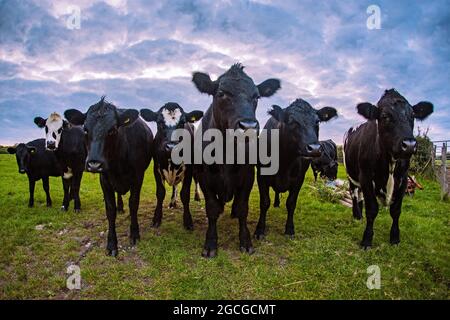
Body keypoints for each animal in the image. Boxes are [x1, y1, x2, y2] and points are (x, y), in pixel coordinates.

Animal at [63, 96, 153, 256]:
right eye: (85, 129)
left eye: (113, 130)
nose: (94, 164)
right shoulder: (104, 179)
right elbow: (110, 210)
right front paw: (111, 243)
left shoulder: (138, 177)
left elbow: (133, 203)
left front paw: (134, 233)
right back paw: (120, 207)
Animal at [141, 102, 204, 230]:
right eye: (159, 122)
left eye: (182, 123)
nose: (171, 147)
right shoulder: (157, 169)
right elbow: (160, 193)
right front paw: (156, 218)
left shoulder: (188, 169)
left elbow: (185, 194)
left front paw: (188, 220)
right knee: (175, 185)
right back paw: (172, 202)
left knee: (196, 180)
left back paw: (197, 196)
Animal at [191, 63, 282, 258]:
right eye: (221, 93)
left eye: (256, 96)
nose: (248, 126)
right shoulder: (204, 177)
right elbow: (212, 208)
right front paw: (210, 244)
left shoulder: (247, 177)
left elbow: (242, 209)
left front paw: (246, 241)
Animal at [255, 99, 336, 239]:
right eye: (292, 121)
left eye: (317, 121)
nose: (314, 149)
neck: (284, 162)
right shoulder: (261, 177)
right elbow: (264, 202)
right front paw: (260, 230)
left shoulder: (299, 179)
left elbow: (291, 203)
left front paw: (289, 229)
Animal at [342, 89, 434, 249]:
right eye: (385, 116)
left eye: (413, 116)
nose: (409, 145)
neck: (391, 162)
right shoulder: (366, 177)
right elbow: (372, 209)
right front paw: (367, 240)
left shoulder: (403, 180)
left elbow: (396, 210)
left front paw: (395, 238)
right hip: (351, 174)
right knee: (353, 193)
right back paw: (357, 215)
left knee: (359, 195)